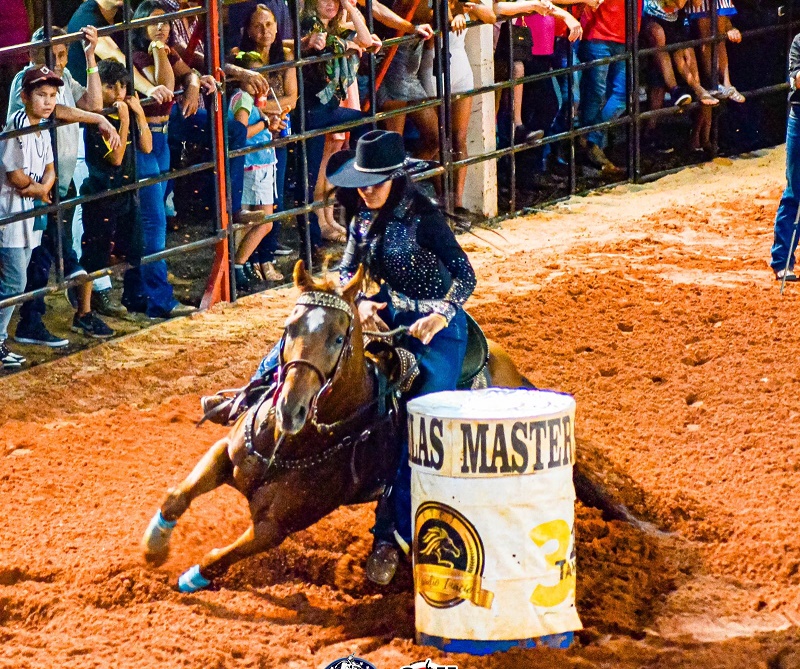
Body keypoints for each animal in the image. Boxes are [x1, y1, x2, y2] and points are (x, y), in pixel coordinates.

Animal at [141, 260, 632, 588]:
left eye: (339, 337)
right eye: (289, 326)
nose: (290, 410)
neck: (295, 444)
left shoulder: (276, 527)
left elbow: (219, 556)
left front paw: (188, 578)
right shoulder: (225, 455)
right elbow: (176, 496)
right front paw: (153, 548)